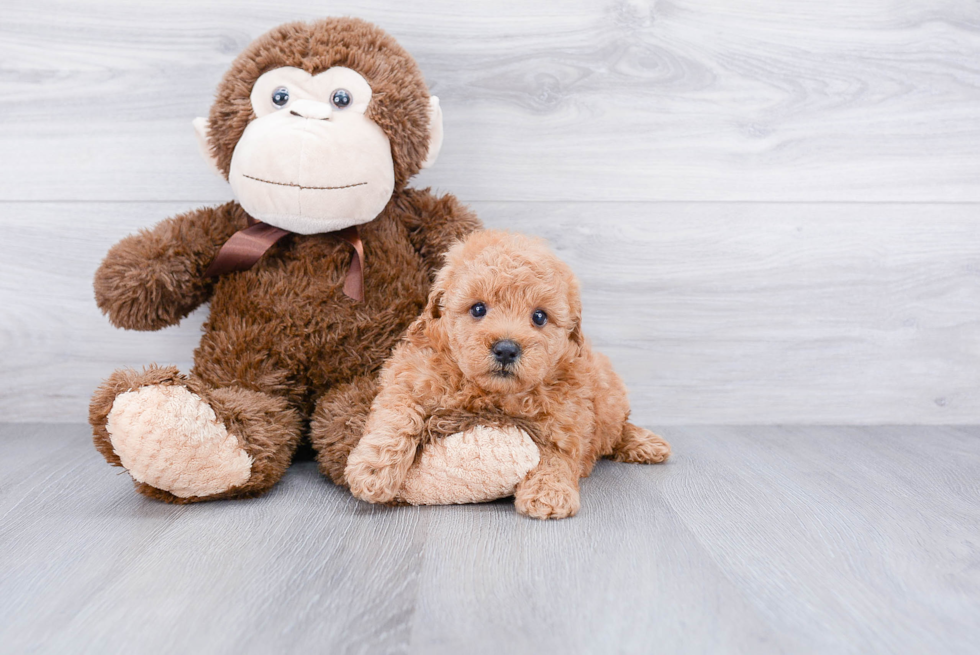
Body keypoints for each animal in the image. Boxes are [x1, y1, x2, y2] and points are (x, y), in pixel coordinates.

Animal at [340, 229, 668, 516]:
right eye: (478, 309)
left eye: (539, 316)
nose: (507, 349)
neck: (488, 393)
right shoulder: (411, 374)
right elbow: (397, 417)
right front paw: (373, 472)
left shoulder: (566, 418)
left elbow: (554, 456)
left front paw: (548, 494)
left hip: (609, 394)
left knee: (617, 428)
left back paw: (645, 443)